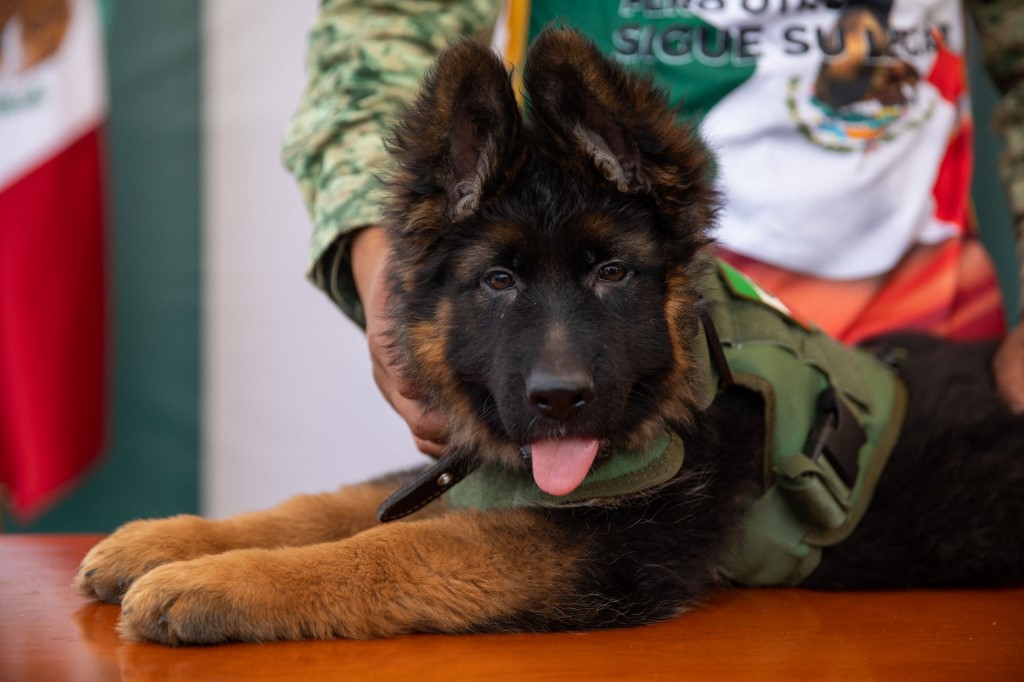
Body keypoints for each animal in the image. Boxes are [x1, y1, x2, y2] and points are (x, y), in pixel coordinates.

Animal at [77, 27, 1024, 643]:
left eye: (614, 275)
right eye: (498, 282)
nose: (560, 400)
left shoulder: (598, 551)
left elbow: (387, 548)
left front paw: (214, 580)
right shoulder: (478, 465)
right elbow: (335, 504)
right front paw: (169, 539)